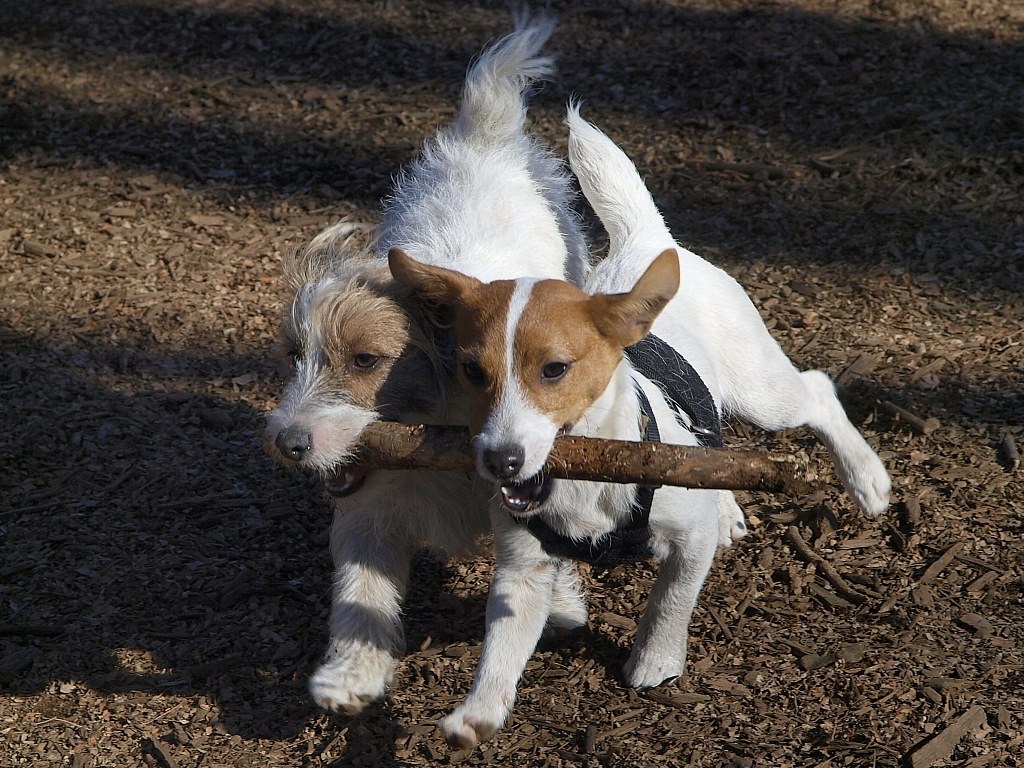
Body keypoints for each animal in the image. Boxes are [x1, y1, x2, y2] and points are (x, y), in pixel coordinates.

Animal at [266, 16, 593, 716]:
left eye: (366, 360)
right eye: (293, 355)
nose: (287, 443)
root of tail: (484, 136)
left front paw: (563, 604)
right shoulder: (369, 509)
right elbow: (359, 590)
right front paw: (350, 675)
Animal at [387, 105, 892, 749]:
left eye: (555, 369)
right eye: (473, 372)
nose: (501, 460)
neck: (584, 487)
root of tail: (652, 241)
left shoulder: (687, 542)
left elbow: (671, 600)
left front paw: (656, 661)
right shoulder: (524, 572)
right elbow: (500, 651)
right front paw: (477, 713)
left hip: (764, 392)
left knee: (818, 392)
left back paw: (867, 479)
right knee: (715, 449)